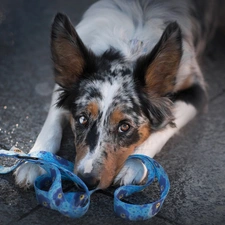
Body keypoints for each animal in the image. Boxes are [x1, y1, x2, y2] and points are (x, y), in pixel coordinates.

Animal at [13, 0, 218, 190]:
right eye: (82, 119)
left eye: (125, 127)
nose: (87, 180)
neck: (130, 48)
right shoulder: (63, 88)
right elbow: (52, 123)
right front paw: (36, 161)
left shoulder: (197, 92)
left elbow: (165, 126)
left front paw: (134, 165)